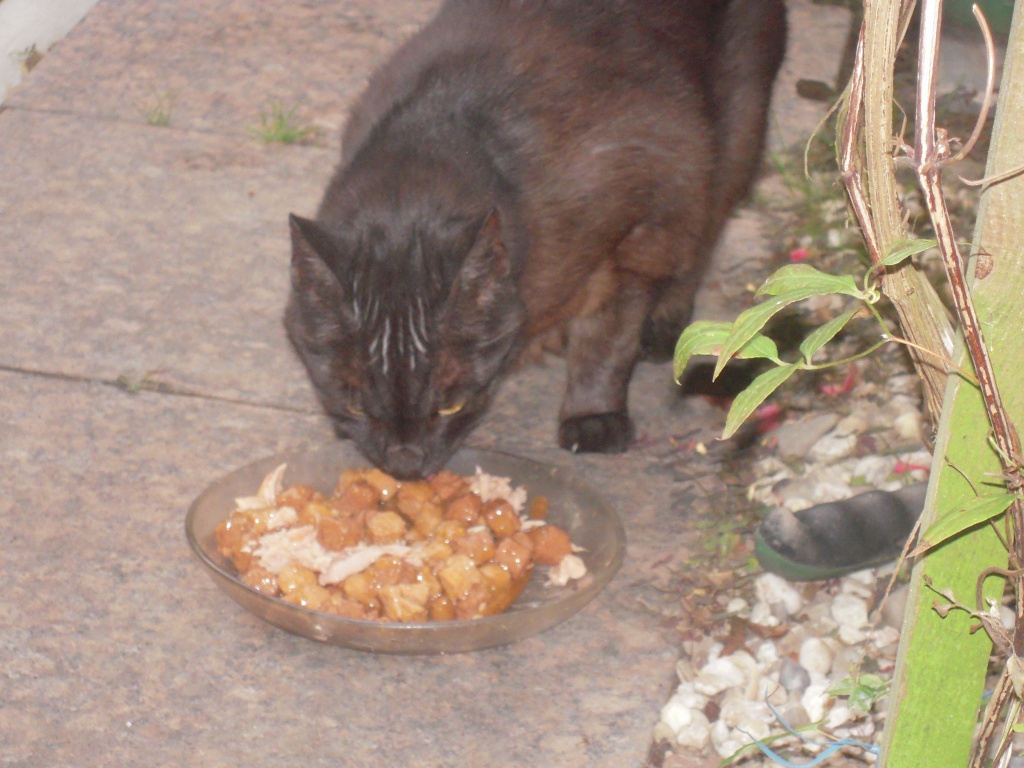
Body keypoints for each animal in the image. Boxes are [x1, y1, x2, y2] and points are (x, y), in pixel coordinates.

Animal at [284, 0, 786, 479]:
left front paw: (592, 417)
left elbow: (606, 341)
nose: (405, 465)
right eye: (353, 405)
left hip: (735, 134)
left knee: (703, 237)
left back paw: (666, 328)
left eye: (450, 404)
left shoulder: (642, 227)